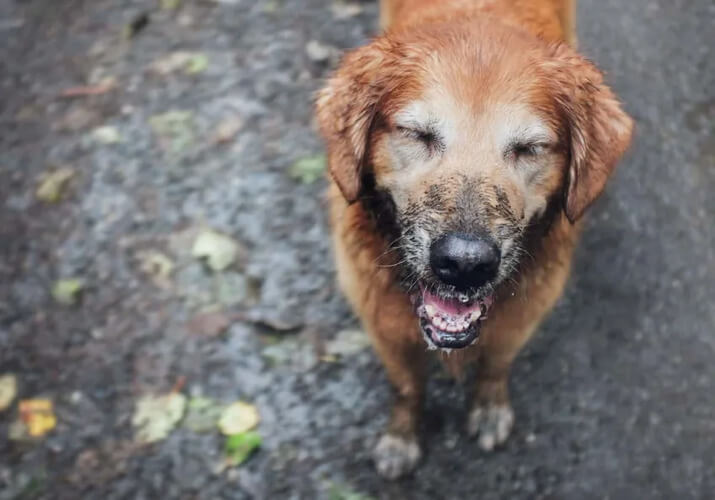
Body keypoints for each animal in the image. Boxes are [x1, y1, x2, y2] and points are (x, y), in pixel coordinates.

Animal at [316, 0, 636, 476]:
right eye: (417, 134)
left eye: (529, 148)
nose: (464, 265)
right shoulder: (383, 325)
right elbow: (407, 387)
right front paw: (401, 437)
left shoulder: (521, 317)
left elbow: (495, 365)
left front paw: (488, 408)